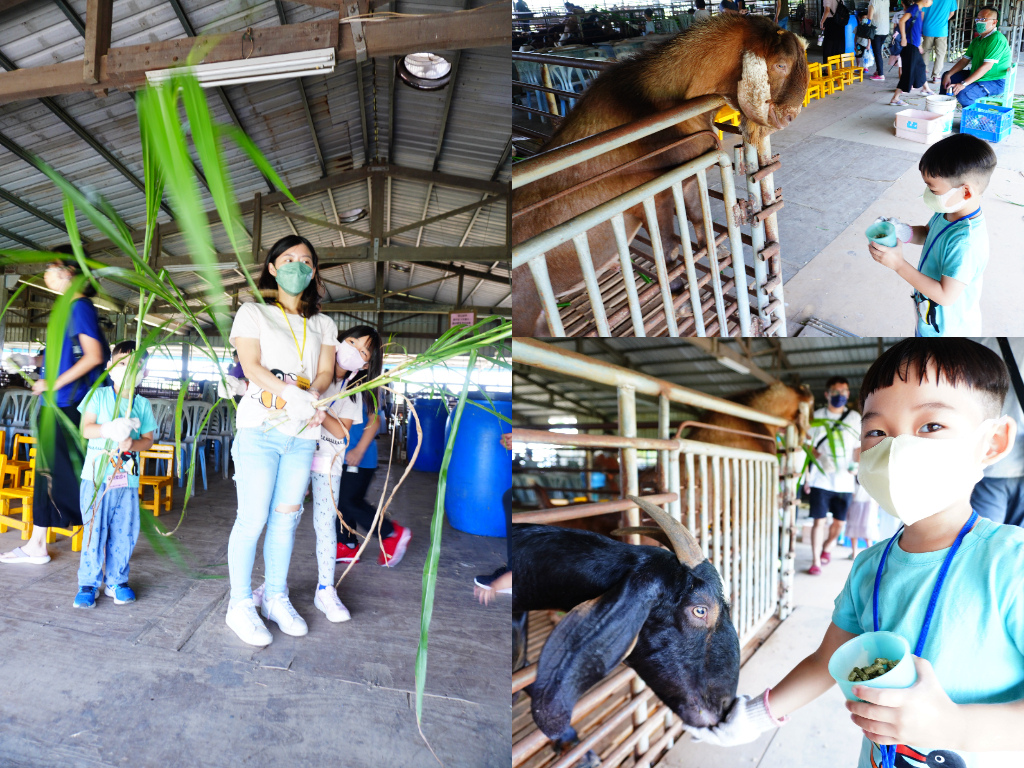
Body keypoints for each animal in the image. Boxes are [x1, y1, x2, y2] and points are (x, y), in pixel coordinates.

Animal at [512, 16, 806, 335]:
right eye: (780, 64)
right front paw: (680, 296)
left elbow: (699, 219)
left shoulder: (688, 175)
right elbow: (669, 251)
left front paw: (715, 256)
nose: (791, 117)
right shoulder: (652, 196)